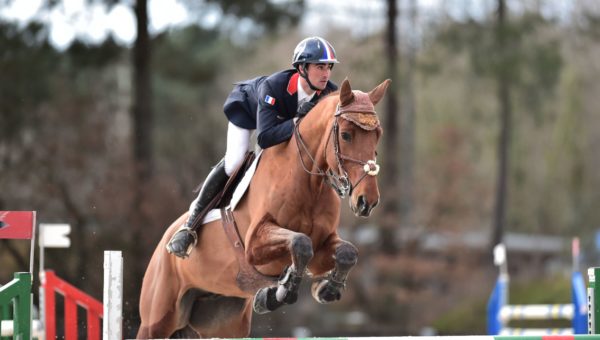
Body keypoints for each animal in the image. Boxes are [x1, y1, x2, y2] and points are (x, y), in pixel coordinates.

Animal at [137, 78, 390, 338]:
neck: (308, 183)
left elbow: (347, 252)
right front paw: (281, 291)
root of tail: (162, 241)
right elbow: (300, 243)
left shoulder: (323, 247)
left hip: (222, 321)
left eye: (378, 135)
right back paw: (182, 239)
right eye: (347, 135)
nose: (366, 201)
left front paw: (326, 289)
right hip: (156, 320)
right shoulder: (254, 245)